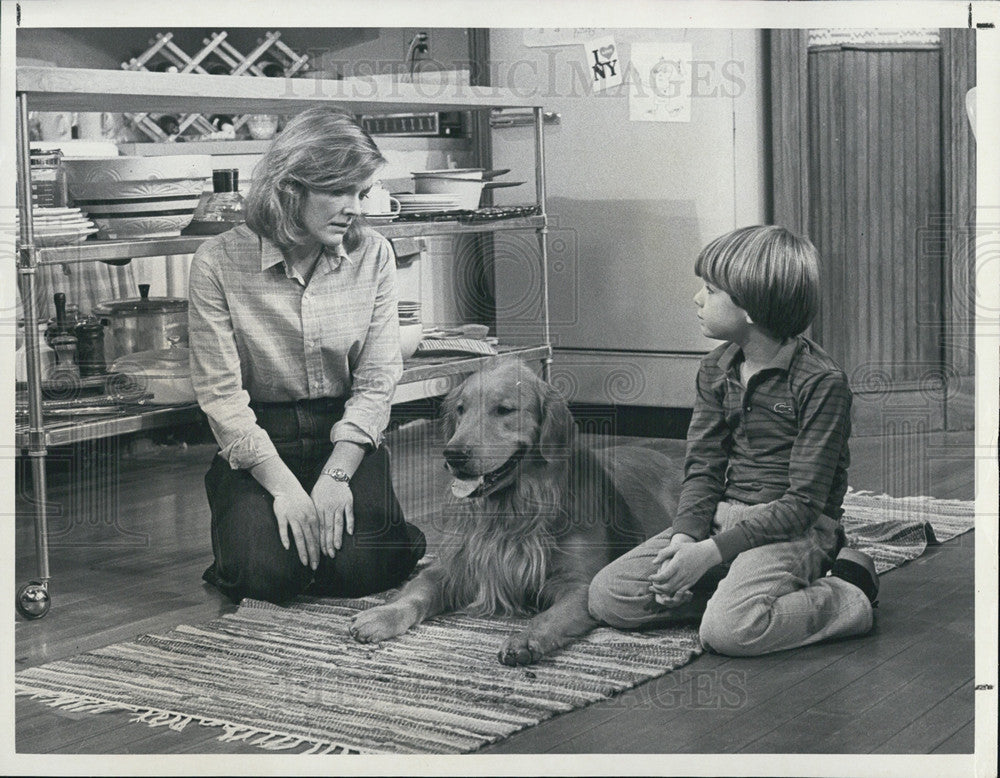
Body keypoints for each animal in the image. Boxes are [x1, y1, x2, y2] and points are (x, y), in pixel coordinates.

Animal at [348, 354, 684, 664]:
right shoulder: (455, 567)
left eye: (504, 410)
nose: (452, 454)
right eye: (461, 409)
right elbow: (417, 591)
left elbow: (548, 617)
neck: (511, 509)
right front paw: (382, 615)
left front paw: (525, 640)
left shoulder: (579, 585)